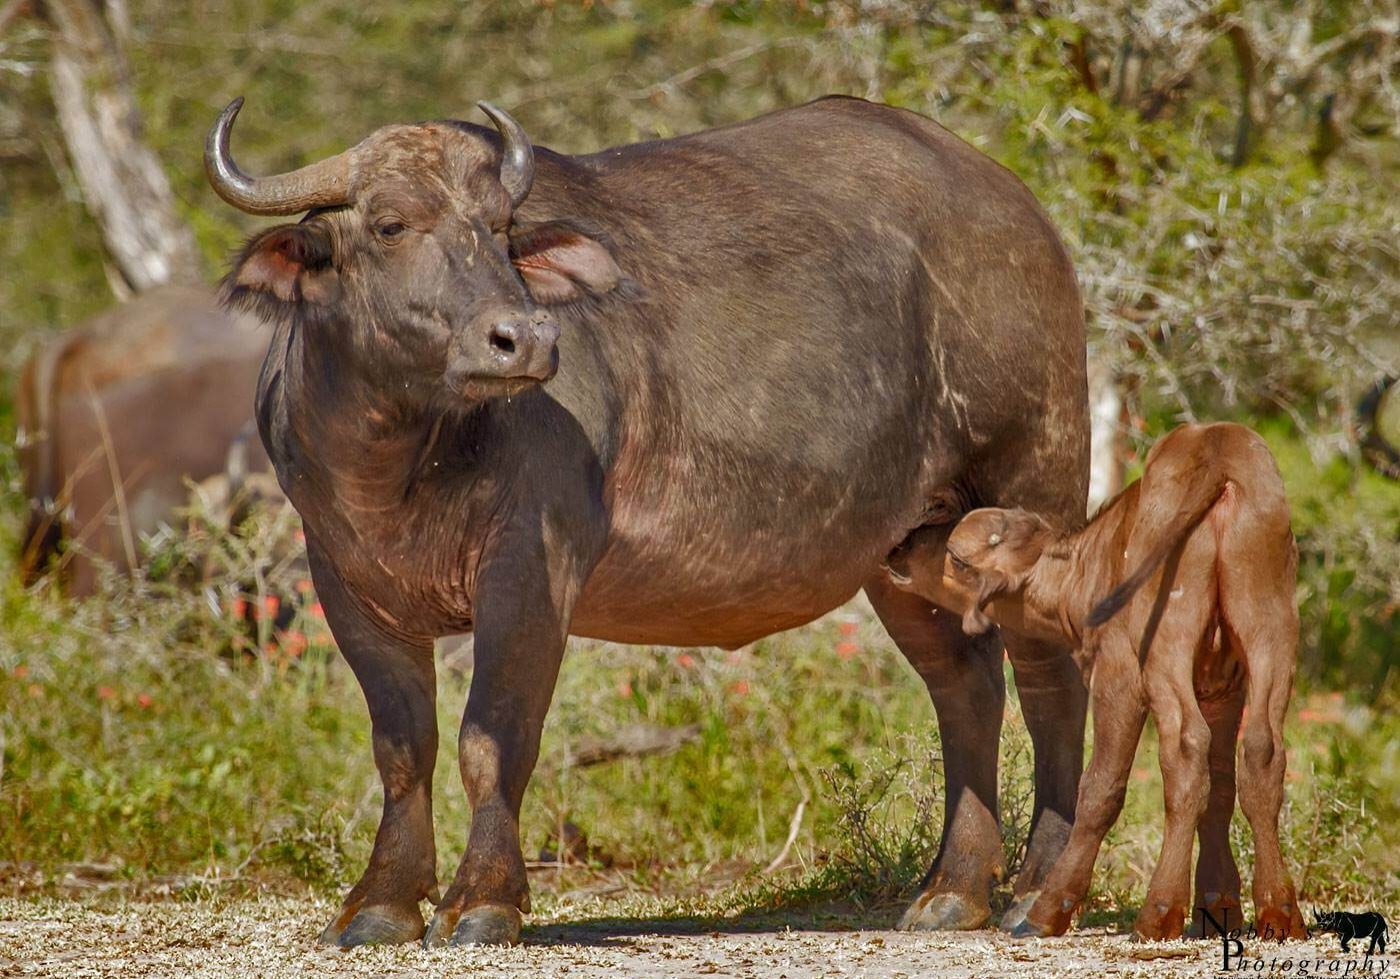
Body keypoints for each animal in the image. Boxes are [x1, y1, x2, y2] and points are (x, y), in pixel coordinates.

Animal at [206, 94, 1090, 947]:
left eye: (498, 229)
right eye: (389, 224)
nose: (523, 337)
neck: (401, 457)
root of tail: (1022, 214)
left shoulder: (532, 569)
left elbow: (492, 738)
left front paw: (482, 901)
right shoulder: (344, 582)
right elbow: (402, 747)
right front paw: (380, 903)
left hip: (1037, 485)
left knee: (1050, 678)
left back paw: (1038, 890)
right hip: (906, 550)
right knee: (965, 686)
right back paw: (954, 889)